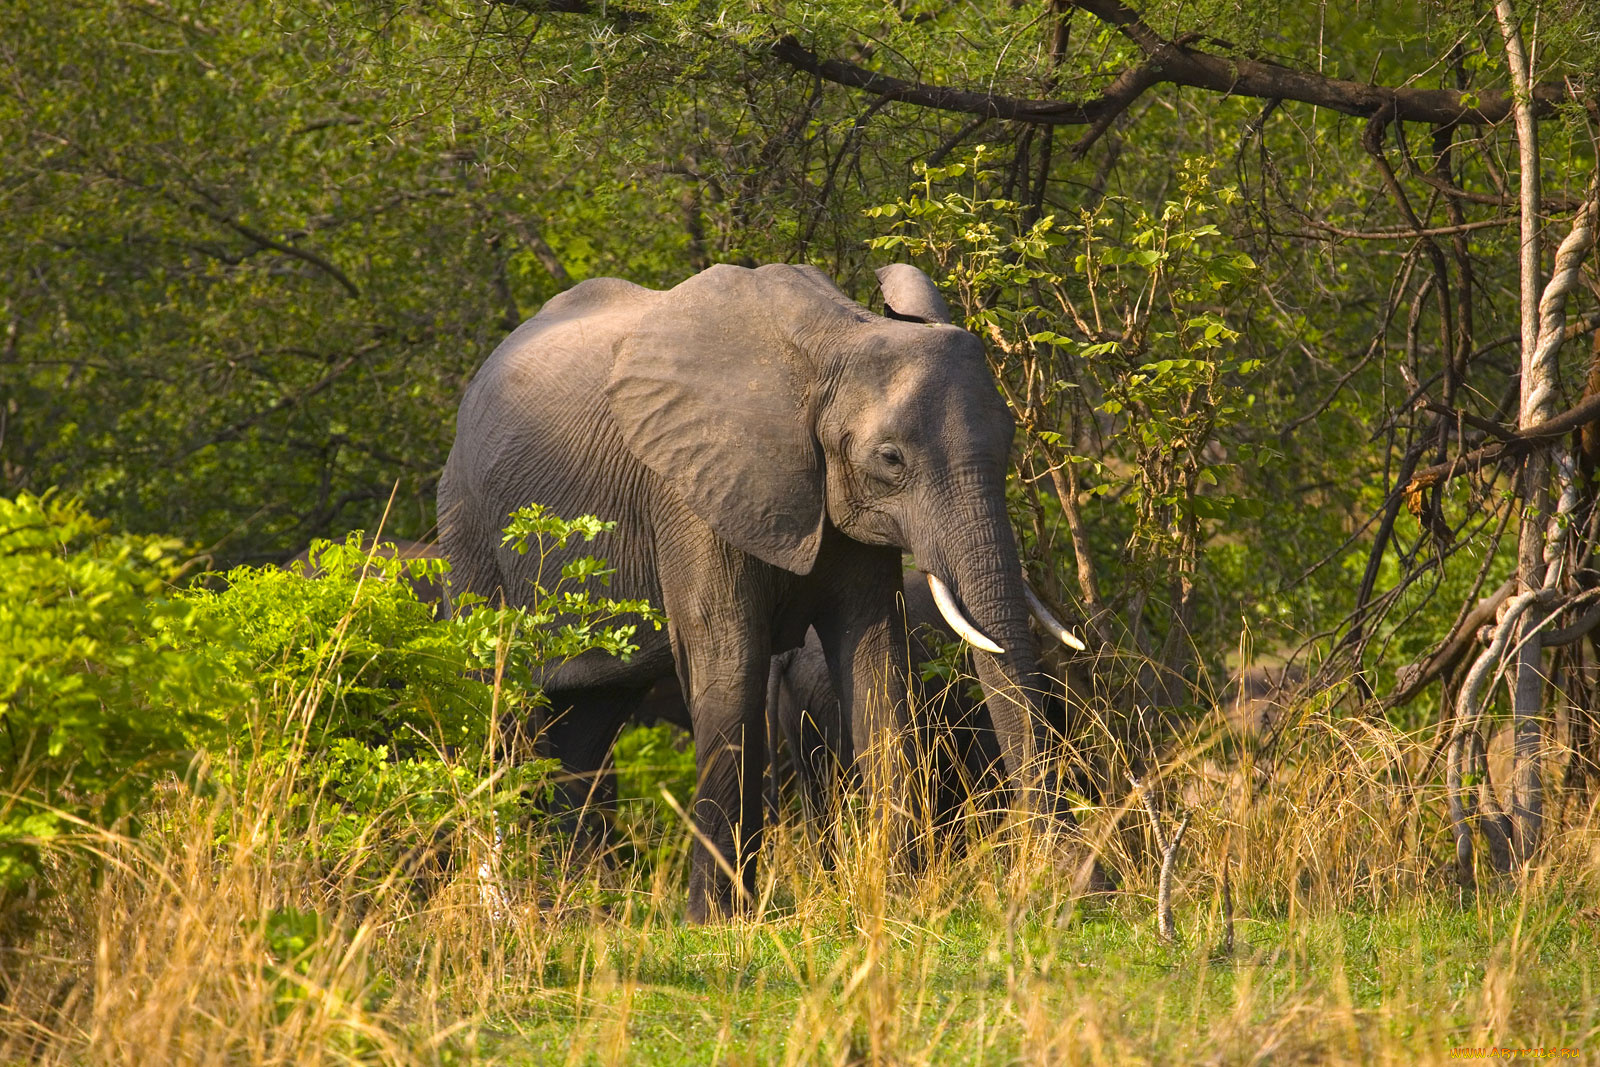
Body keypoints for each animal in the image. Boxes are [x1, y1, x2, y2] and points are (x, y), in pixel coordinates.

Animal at [444, 265, 1081, 921]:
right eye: (890, 458)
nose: (1063, 883)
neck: (835, 343)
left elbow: (875, 662)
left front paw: (897, 901)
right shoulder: (690, 489)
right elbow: (730, 664)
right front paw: (714, 924)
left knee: (586, 723)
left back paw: (573, 911)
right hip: (468, 526)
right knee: (502, 710)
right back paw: (520, 910)